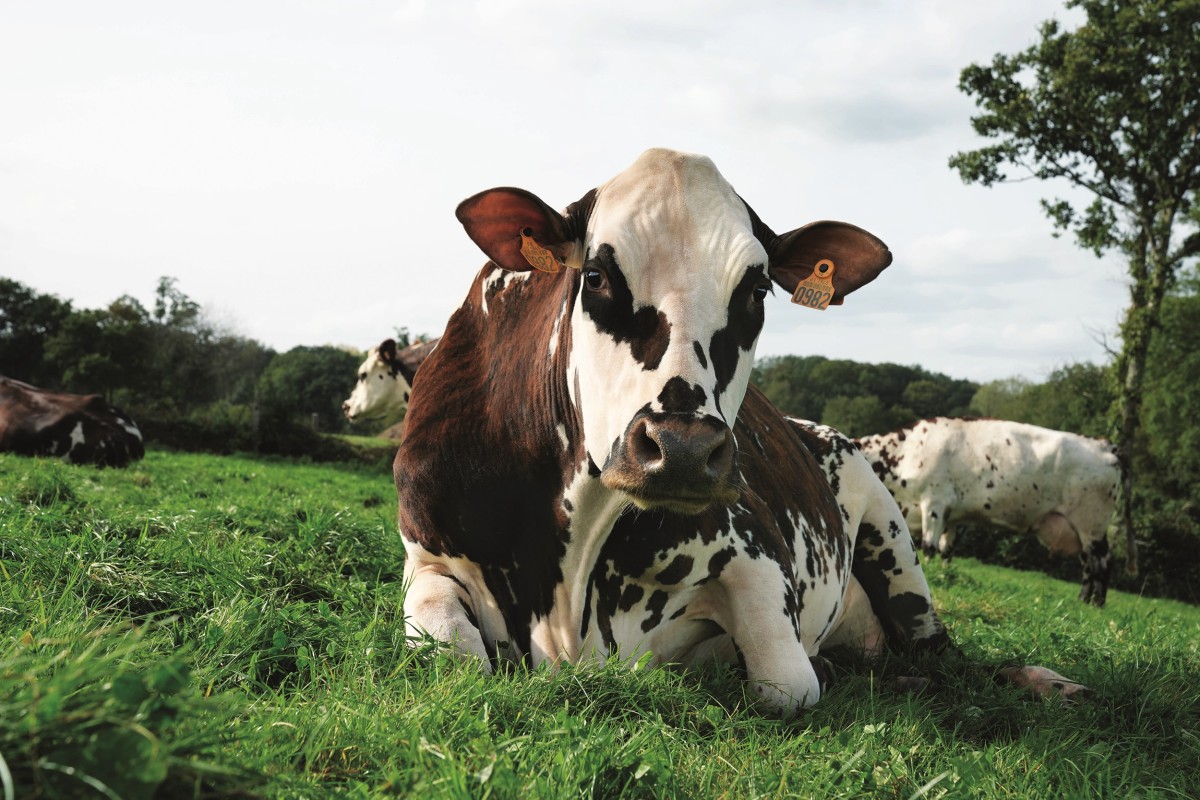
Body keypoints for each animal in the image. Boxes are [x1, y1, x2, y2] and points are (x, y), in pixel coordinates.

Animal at [393, 146, 1080, 714]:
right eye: (595, 275)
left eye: (757, 291)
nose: (682, 449)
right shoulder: (427, 554)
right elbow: (455, 653)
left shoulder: (754, 548)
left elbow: (788, 682)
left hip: (895, 538)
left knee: (949, 659)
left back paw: (1047, 682)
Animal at [854, 419, 1123, 606]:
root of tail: (1103, 444)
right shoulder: (951, 516)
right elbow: (946, 549)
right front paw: (944, 571)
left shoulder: (934, 503)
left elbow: (929, 546)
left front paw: (928, 571)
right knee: (1090, 564)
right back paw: (1086, 599)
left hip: (1091, 523)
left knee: (1101, 563)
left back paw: (1094, 603)